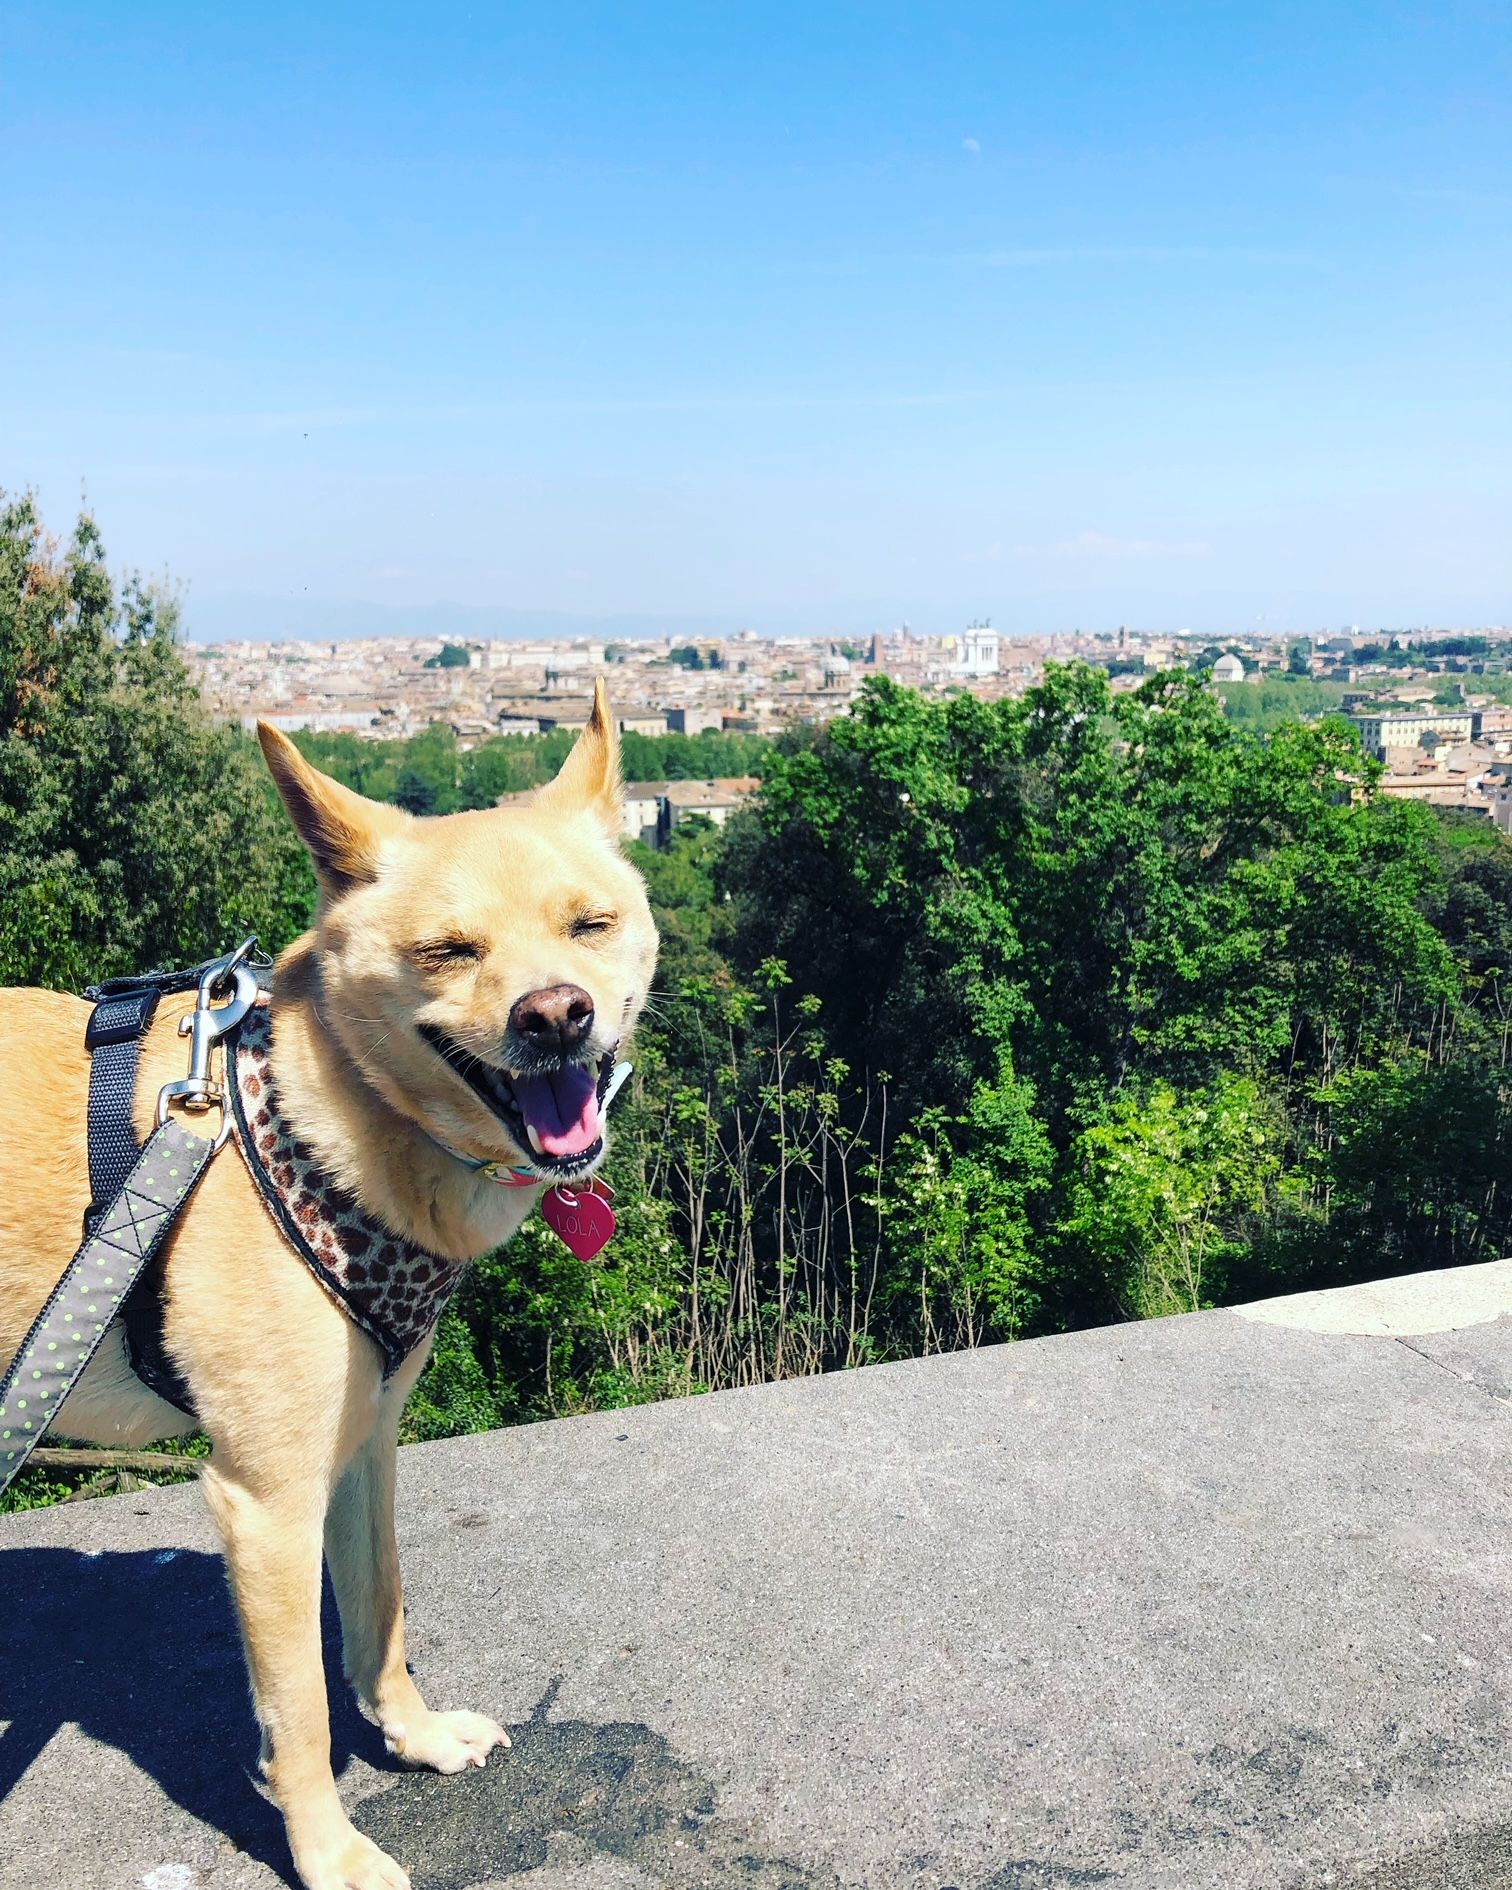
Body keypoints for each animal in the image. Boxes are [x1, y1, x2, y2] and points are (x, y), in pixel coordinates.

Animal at [1, 687, 661, 1890]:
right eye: (448, 951)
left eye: (589, 925)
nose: (555, 1014)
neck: (326, 1105)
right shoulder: (265, 1499)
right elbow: (300, 1709)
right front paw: (328, 1851)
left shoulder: (361, 1444)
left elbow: (378, 1606)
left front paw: (415, 1736)